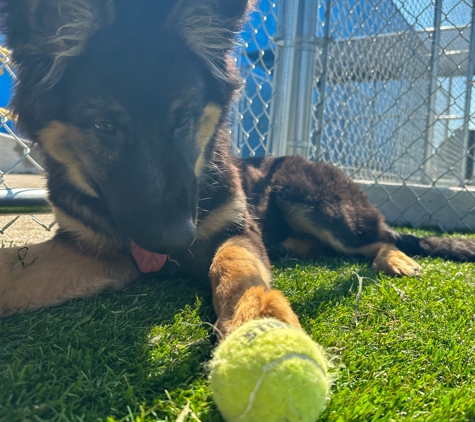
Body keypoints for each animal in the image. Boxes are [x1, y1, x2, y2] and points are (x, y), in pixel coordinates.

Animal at [0, 0, 475, 336]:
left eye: (184, 118)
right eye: (104, 126)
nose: (177, 240)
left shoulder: (237, 227)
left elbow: (234, 263)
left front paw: (259, 317)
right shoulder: (92, 249)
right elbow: (14, 267)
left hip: (310, 198)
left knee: (379, 238)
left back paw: (395, 259)